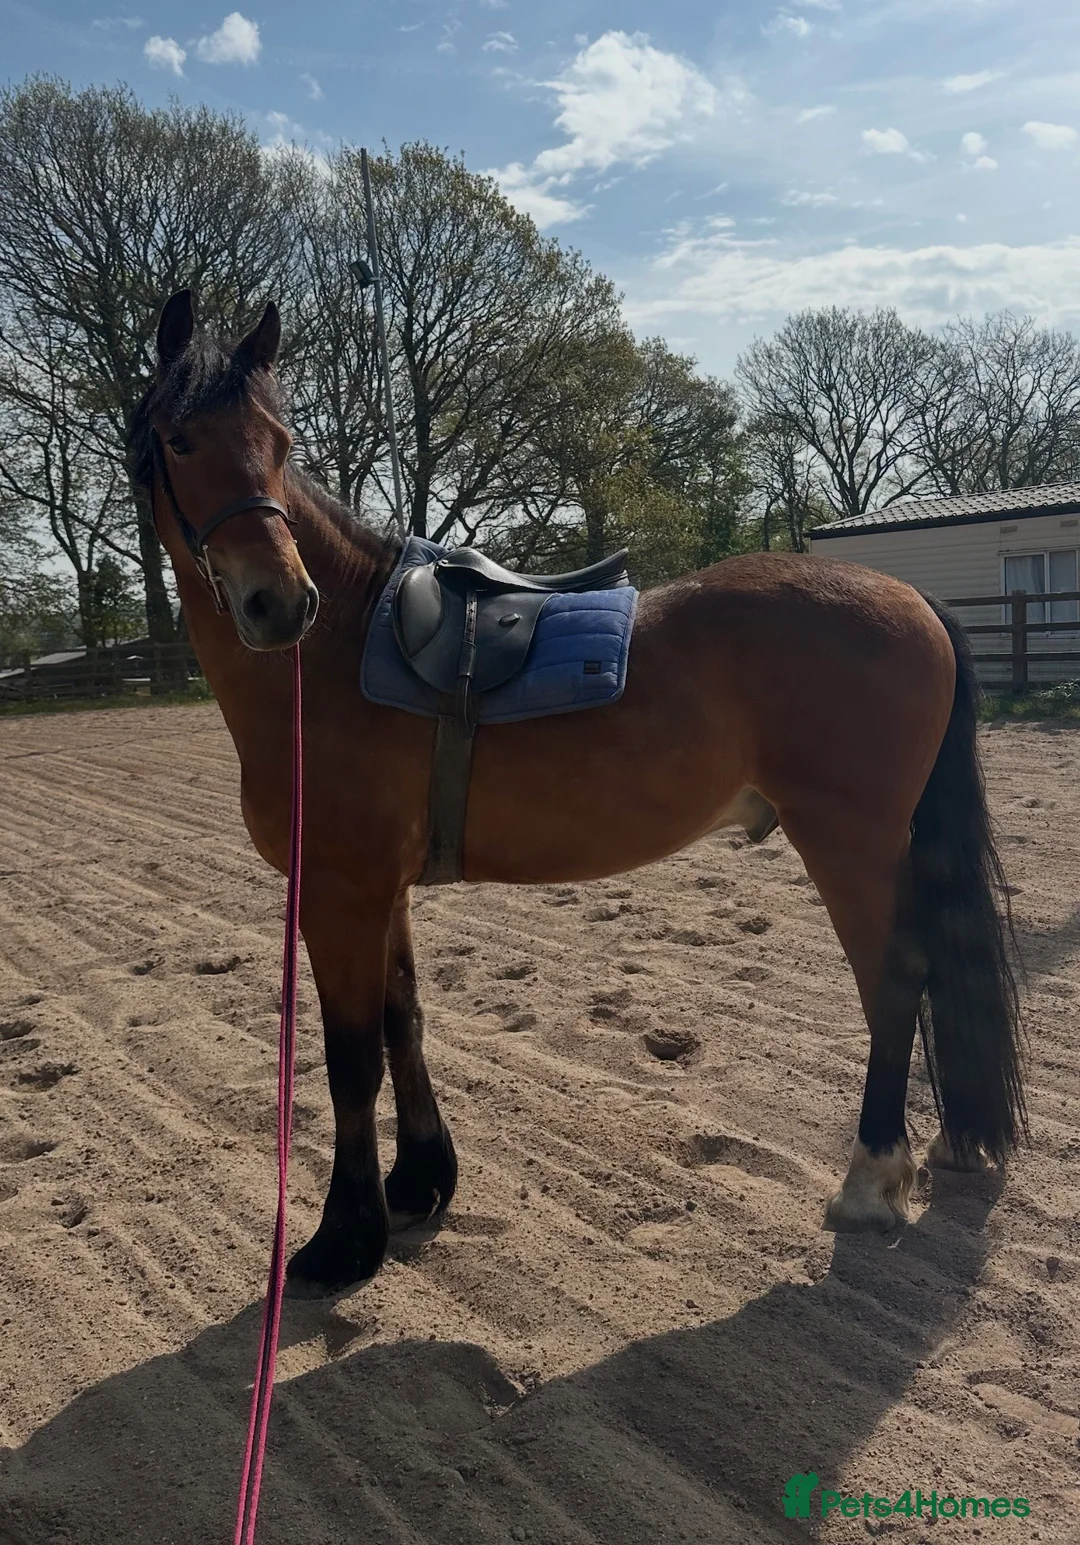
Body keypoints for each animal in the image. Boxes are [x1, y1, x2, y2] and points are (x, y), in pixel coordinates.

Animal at [127, 289, 1026, 1295]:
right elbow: (404, 1020)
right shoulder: (379, 892)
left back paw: (871, 1177)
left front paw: (343, 1238)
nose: (280, 602)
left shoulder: (337, 892)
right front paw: (418, 1184)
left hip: (849, 840)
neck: (338, 653)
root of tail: (910, 598)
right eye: (182, 440)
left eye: (278, 442)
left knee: (894, 980)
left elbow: (350, 1058)